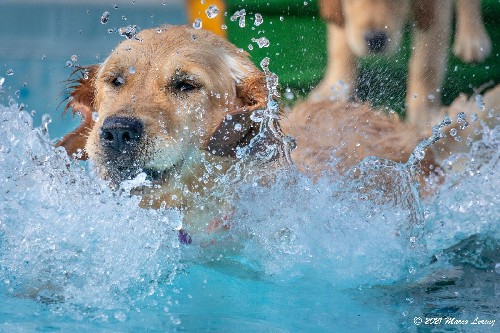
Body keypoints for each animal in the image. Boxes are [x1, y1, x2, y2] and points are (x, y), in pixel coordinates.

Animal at [312, 0, 492, 135]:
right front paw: (334, 90)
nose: (375, 40)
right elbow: (341, 45)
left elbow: (426, 63)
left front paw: (425, 114)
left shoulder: (435, 10)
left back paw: (472, 37)